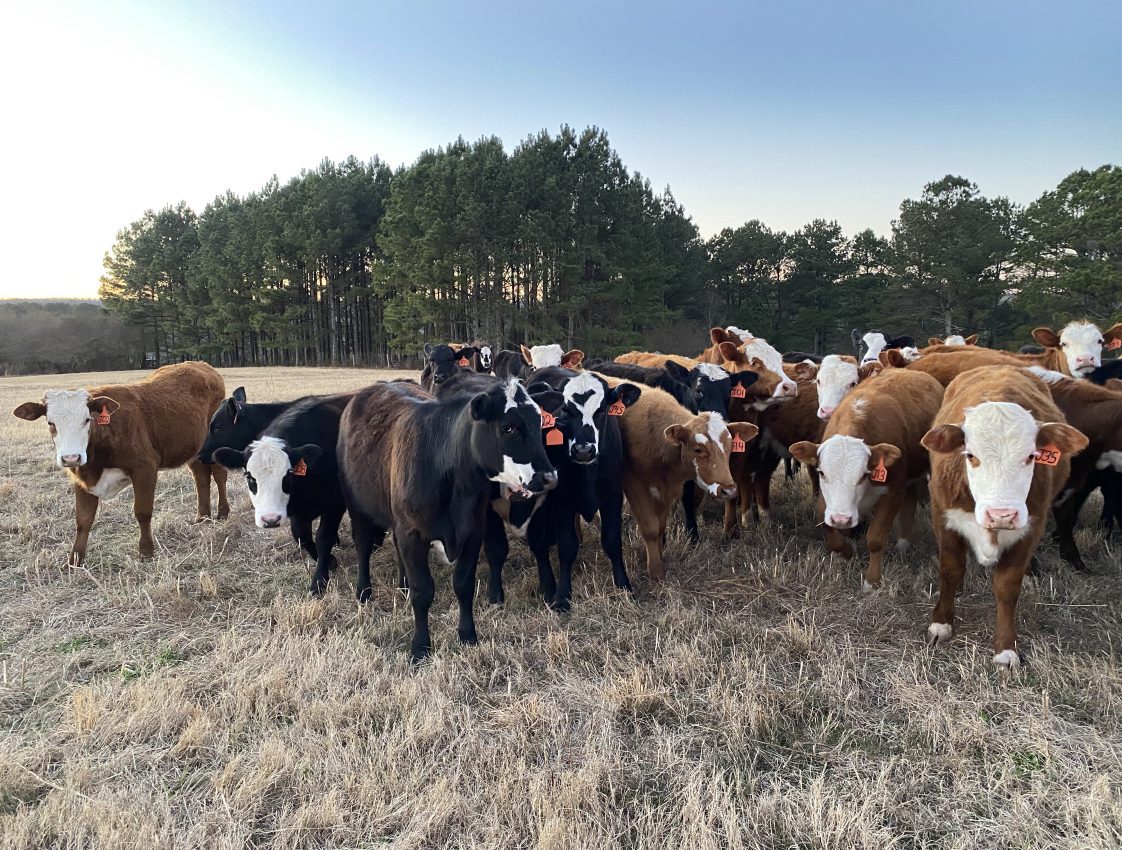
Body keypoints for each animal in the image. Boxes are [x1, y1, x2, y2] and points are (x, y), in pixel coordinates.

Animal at [12, 362, 229, 565]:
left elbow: (142, 512)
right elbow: (83, 519)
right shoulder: (81, 478)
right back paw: (203, 517)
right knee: (201, 477)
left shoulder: (144, 468)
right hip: (192, 448)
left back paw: (223, 512)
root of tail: (202, 365)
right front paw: (75, 560)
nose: (71, 457)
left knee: (219, 475)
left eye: (87, 419)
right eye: (51, 423)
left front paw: (146, 551)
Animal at [212, 393, 355, 597]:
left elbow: (323, 538)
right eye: (249, 477)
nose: (270, 519)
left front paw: (319, 581)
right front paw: (329, 561)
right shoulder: (297, 512)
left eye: (288, 475)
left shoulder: (334, 504)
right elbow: (302, 537)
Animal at [338, 377, 557, 661]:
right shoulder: (412, 533)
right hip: (357, 504)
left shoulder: (473, 531)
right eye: (508, 427)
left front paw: (467, 635)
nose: (548, 477)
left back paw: (402, 585)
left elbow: (463, 585)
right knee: (363, 545)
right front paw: (420, 646)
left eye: (539, 423)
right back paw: (364, 591)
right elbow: (423, 591)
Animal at [789, 369, 944, 590]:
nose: (841, 519)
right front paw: (846, 552)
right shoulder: (828, 503)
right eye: (822, 473)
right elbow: (827, 528)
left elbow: (876, 538)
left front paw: (872, 581)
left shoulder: (892, 492)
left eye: (863, 474)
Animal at [920, 366, 1088, 666]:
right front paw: (941, 624)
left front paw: (1006, 649)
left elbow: (1007, 586)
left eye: (1032, 456)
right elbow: (950, 571)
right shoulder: (943, 516)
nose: (1002, 515)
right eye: (970, 455)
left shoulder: (1031, 526)